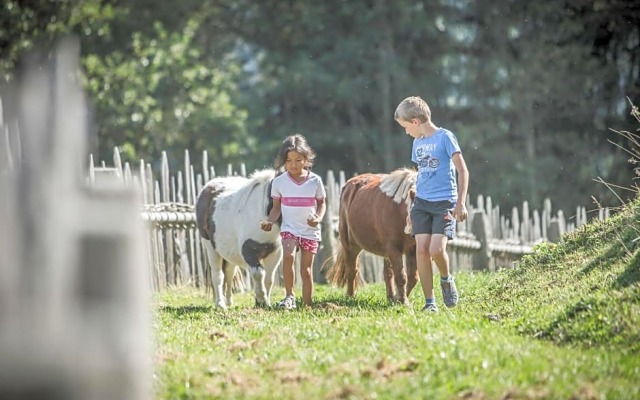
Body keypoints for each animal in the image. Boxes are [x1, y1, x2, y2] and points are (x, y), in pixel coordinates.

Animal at [324, 168, 420, 304]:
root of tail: (349, 184)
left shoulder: (413, 249)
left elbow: (412, 277)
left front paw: (398, 299)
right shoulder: (394, 248)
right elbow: (401, 276)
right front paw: (403, 301)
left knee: (387, 273)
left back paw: (391, 297)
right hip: (350, 245)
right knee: (351, 270)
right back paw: (350, 296)